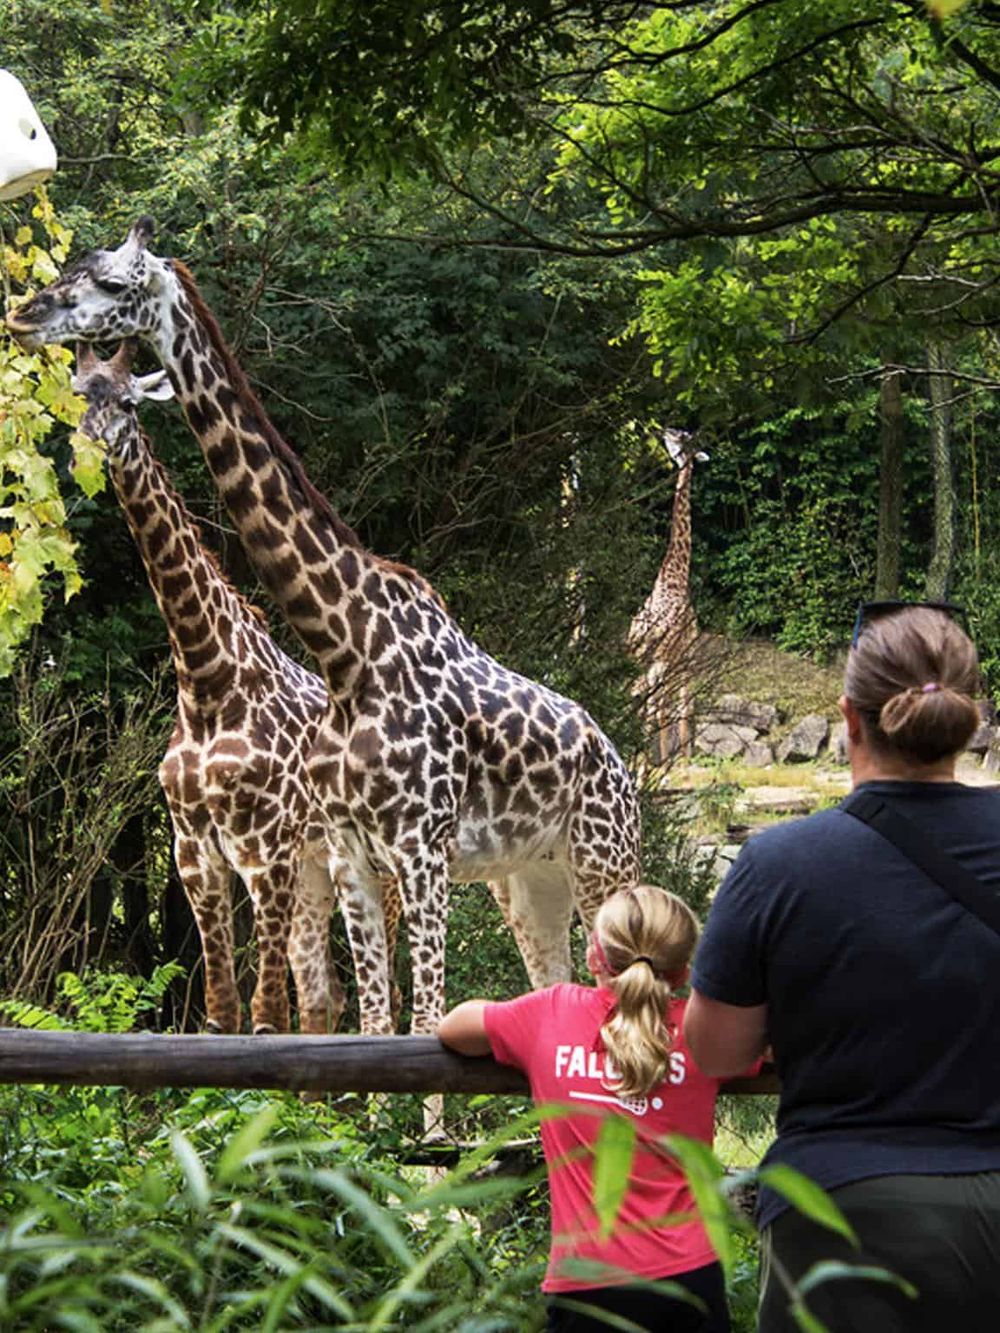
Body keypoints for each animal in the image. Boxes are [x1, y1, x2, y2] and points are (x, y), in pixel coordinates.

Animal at [69, 338, 402, 1036]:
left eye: (129, 400)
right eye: (78, 392)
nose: (87, 446)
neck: (205, 678)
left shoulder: (265, 848)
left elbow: (266, 1013)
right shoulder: (195, 850)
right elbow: (222, 1013)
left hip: (363, 867)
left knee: (380, 995)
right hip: (315, 872)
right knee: (325, 995)